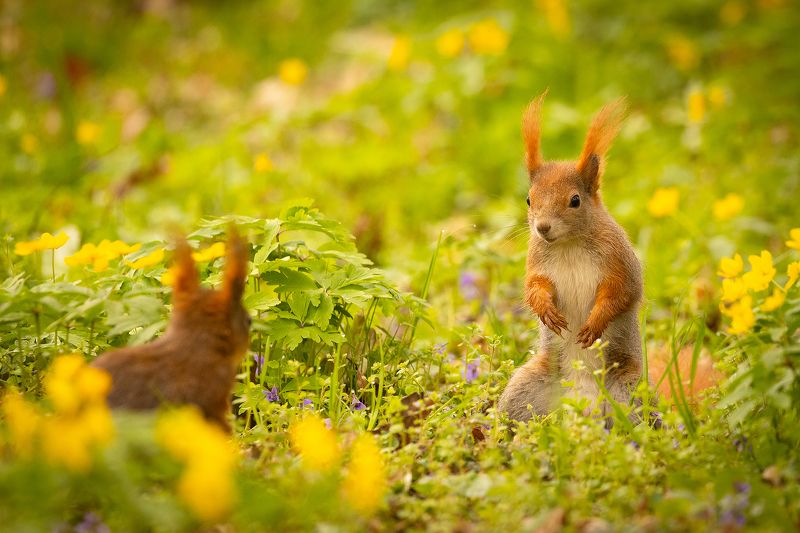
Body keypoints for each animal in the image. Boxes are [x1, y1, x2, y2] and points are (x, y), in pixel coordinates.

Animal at [498, 92, 645, 423]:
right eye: (529, 199)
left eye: (575, 201)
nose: (542, 228)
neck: (568, 245)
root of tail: (583, 407)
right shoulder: (536, 262)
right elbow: (534, 288)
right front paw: (547, 311)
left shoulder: (619, 261)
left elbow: (621, 292)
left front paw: (594, 323)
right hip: (524, 391)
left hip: (629, 391)